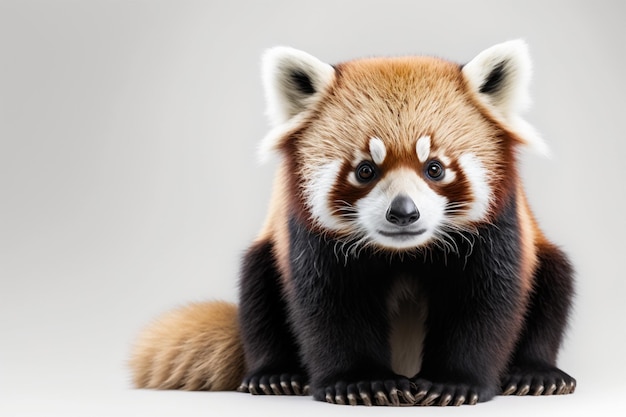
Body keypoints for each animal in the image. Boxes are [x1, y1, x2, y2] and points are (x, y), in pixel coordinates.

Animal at [129, 40, 572, 404]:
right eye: (365, 170)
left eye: (435, 168)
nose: (403, 212)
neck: (403, 252)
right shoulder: (306, 233)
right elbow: (328, 305)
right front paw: (360, 383)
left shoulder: (497, 229)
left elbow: (485, 302)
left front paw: (453, 383)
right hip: (265, 256)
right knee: (257, 288)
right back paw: (276, 375)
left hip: (544, 256)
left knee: (555, 282)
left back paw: (534, 374)